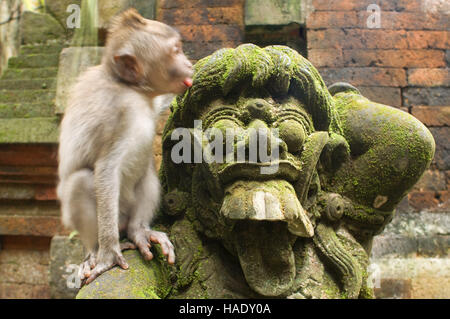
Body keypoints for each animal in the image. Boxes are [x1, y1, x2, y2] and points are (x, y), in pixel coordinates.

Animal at [56, 8, 193, 286]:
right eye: (175, 51)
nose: (188, 63)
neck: (134, 90)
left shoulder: (150, 98)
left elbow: (163, 101)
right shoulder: (116, 112)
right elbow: (106, 168)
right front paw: (109, 256)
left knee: (147, 173)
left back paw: (139, 231)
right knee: (81, 182)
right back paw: (96, 251)